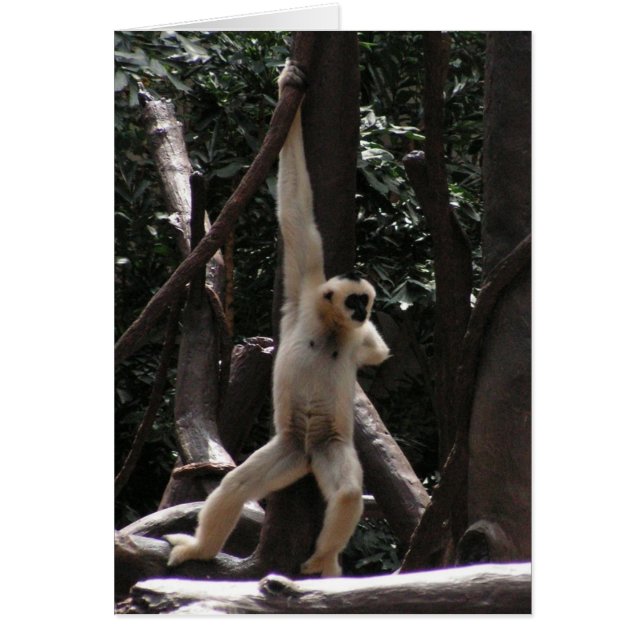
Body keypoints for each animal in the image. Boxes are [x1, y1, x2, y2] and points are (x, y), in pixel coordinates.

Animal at [165, 59, 390, 578]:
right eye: (354, 302)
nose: (364, 310)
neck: (330, 328)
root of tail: (305, 452)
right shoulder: (304, 291)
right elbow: (296, 218)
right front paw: (290, 89)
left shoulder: (353, 336)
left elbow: (379, 352)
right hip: (286, 447)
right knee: (232, 487)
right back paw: (201, 548)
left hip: (327, 444)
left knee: (347, 493)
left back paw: (322, 560)